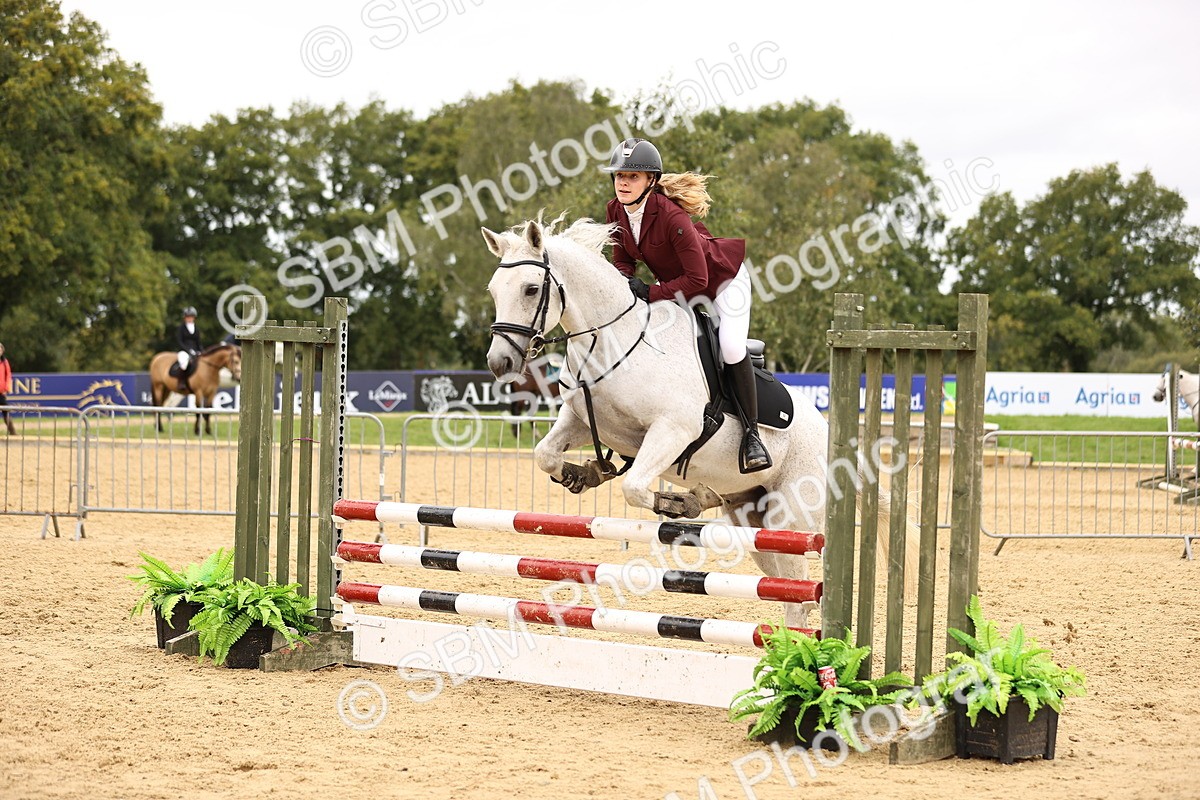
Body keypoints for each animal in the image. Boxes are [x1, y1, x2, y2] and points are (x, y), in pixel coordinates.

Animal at [482, 217, 916, 626]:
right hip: (753, 519)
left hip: (790, 518)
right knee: (789, 591)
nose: (500, 363)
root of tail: (839, 447)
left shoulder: (673, 430)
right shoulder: (582, 421)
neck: (613, 338)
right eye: (493, 290)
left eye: (531, 289)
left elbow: (634, 487)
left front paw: (670, 502)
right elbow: (545, 454)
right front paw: (583, 473)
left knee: (800, 598)